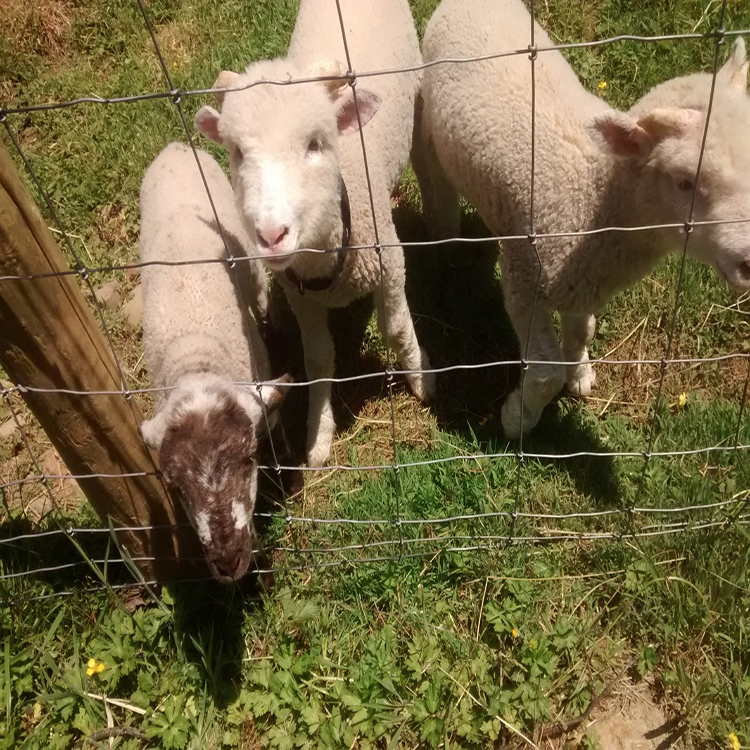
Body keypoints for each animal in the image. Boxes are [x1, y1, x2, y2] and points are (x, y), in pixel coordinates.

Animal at [194, 0, 438, 468]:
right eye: (237, 153)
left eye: (314, 143)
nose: (271, 235)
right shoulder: (300, 295)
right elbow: (318, 358)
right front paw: (318, 435)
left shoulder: (389, 262)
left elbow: (396, 328)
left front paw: (422, 379)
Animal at [418, 0, 750, 440]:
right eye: (684, 181)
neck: (593, 201)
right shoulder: (523, 278)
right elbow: (544, 373)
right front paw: (517, 419)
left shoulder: (583, 281)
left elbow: (582, 330)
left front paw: (579, 372)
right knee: (433, 179)